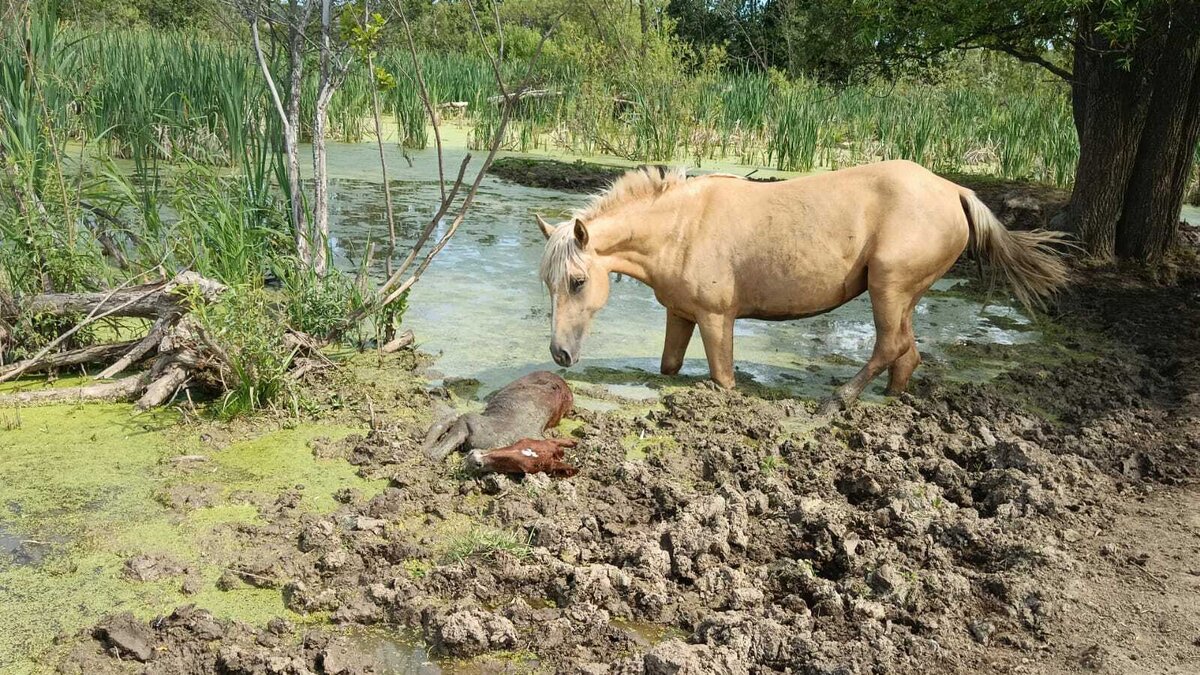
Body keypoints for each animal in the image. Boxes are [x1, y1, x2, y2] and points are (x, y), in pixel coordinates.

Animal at [535, 159, 1070, 408]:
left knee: (890, 346)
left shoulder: (716, 319)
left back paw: (839, 400)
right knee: (907, 354)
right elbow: (668, 367)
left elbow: (723, 379)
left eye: (577, 281)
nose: (560, 354)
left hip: (889, 289)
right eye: (549, 284)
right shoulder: (681, 315)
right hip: (905, 296)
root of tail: (954, 189)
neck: (683, 225)